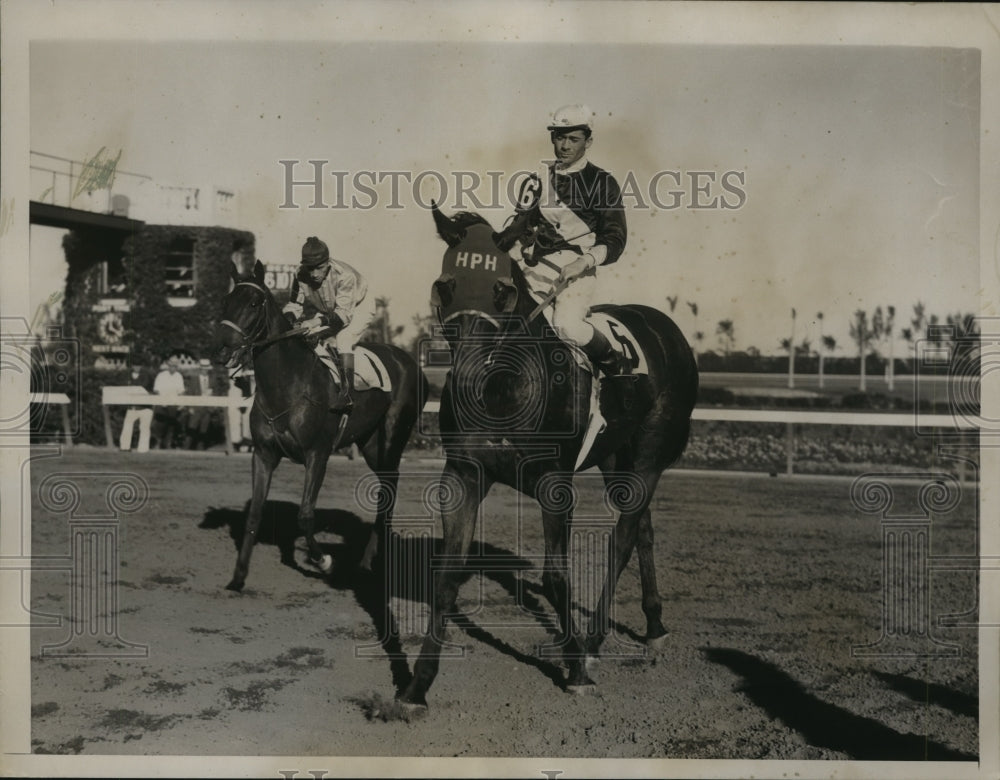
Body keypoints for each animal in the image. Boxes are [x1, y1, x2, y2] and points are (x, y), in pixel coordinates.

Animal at [215, 258, 426, 588]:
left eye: (253, 302)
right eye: (226, 301)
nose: (224, 348)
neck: (286, 386)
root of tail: (411, 363)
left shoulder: (318, 454)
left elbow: (305, 514)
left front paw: (324, 560)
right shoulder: (263, 453)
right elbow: (255, 514)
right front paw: (238, 577)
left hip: (394, 434)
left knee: (390, 486)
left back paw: (371, 560)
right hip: (371, 443)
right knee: (386, 485)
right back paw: (367, 560)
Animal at [396, 207, 696, 708]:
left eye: (501, 289)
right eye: (445, 285)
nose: (467, 374)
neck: (504, 386)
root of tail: (664, 328)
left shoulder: (555, 483)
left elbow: (557, 576)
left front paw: (574, 669)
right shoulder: (463, 474)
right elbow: (448, 573)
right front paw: (417, 685)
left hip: (651, 454)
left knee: (622, 538)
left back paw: (592, 643)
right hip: (616, 456)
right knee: (642, 530)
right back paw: (653, 626)